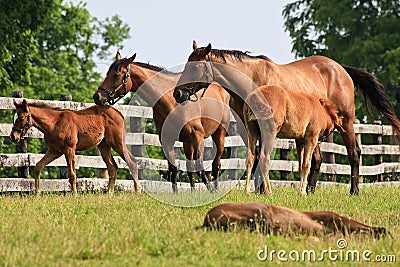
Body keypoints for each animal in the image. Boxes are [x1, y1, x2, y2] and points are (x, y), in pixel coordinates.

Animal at [9, 99, 141, 196]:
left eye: (21, 118)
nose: (13, 137)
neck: (54, 123)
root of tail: (119, 113)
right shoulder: (55, 151)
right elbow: (38, 166)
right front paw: (36, 194)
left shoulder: (69, 149)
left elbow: (72, 174)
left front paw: (75, 195)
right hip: (104, 145)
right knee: (112, 167)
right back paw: (109, 193)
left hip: (117, 143)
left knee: (132, 161)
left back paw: (137, 191)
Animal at [92, 52, 230, 194]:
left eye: (116, 75)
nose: (97, 96)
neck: (171, 102)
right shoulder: (167, 140)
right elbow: (174, 169)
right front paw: (176, 193)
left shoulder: (198, 137)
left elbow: (200, 168)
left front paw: (211, 191)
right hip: (187, 142)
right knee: (190, 166)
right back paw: (193, 191)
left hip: (218, 134)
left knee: (216, 164)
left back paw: (215, 188)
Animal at [174, 42, 400, 197]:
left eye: (195, 67)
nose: (178, 93)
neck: (252, 80)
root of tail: (341, 70)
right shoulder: (250, 130)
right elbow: (256, 157)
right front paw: (259, 190)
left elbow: (262, 157)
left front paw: (262, 191)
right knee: (317, 159)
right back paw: (309, 191)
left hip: (346, 123)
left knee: (354, 153)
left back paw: (354, 191)